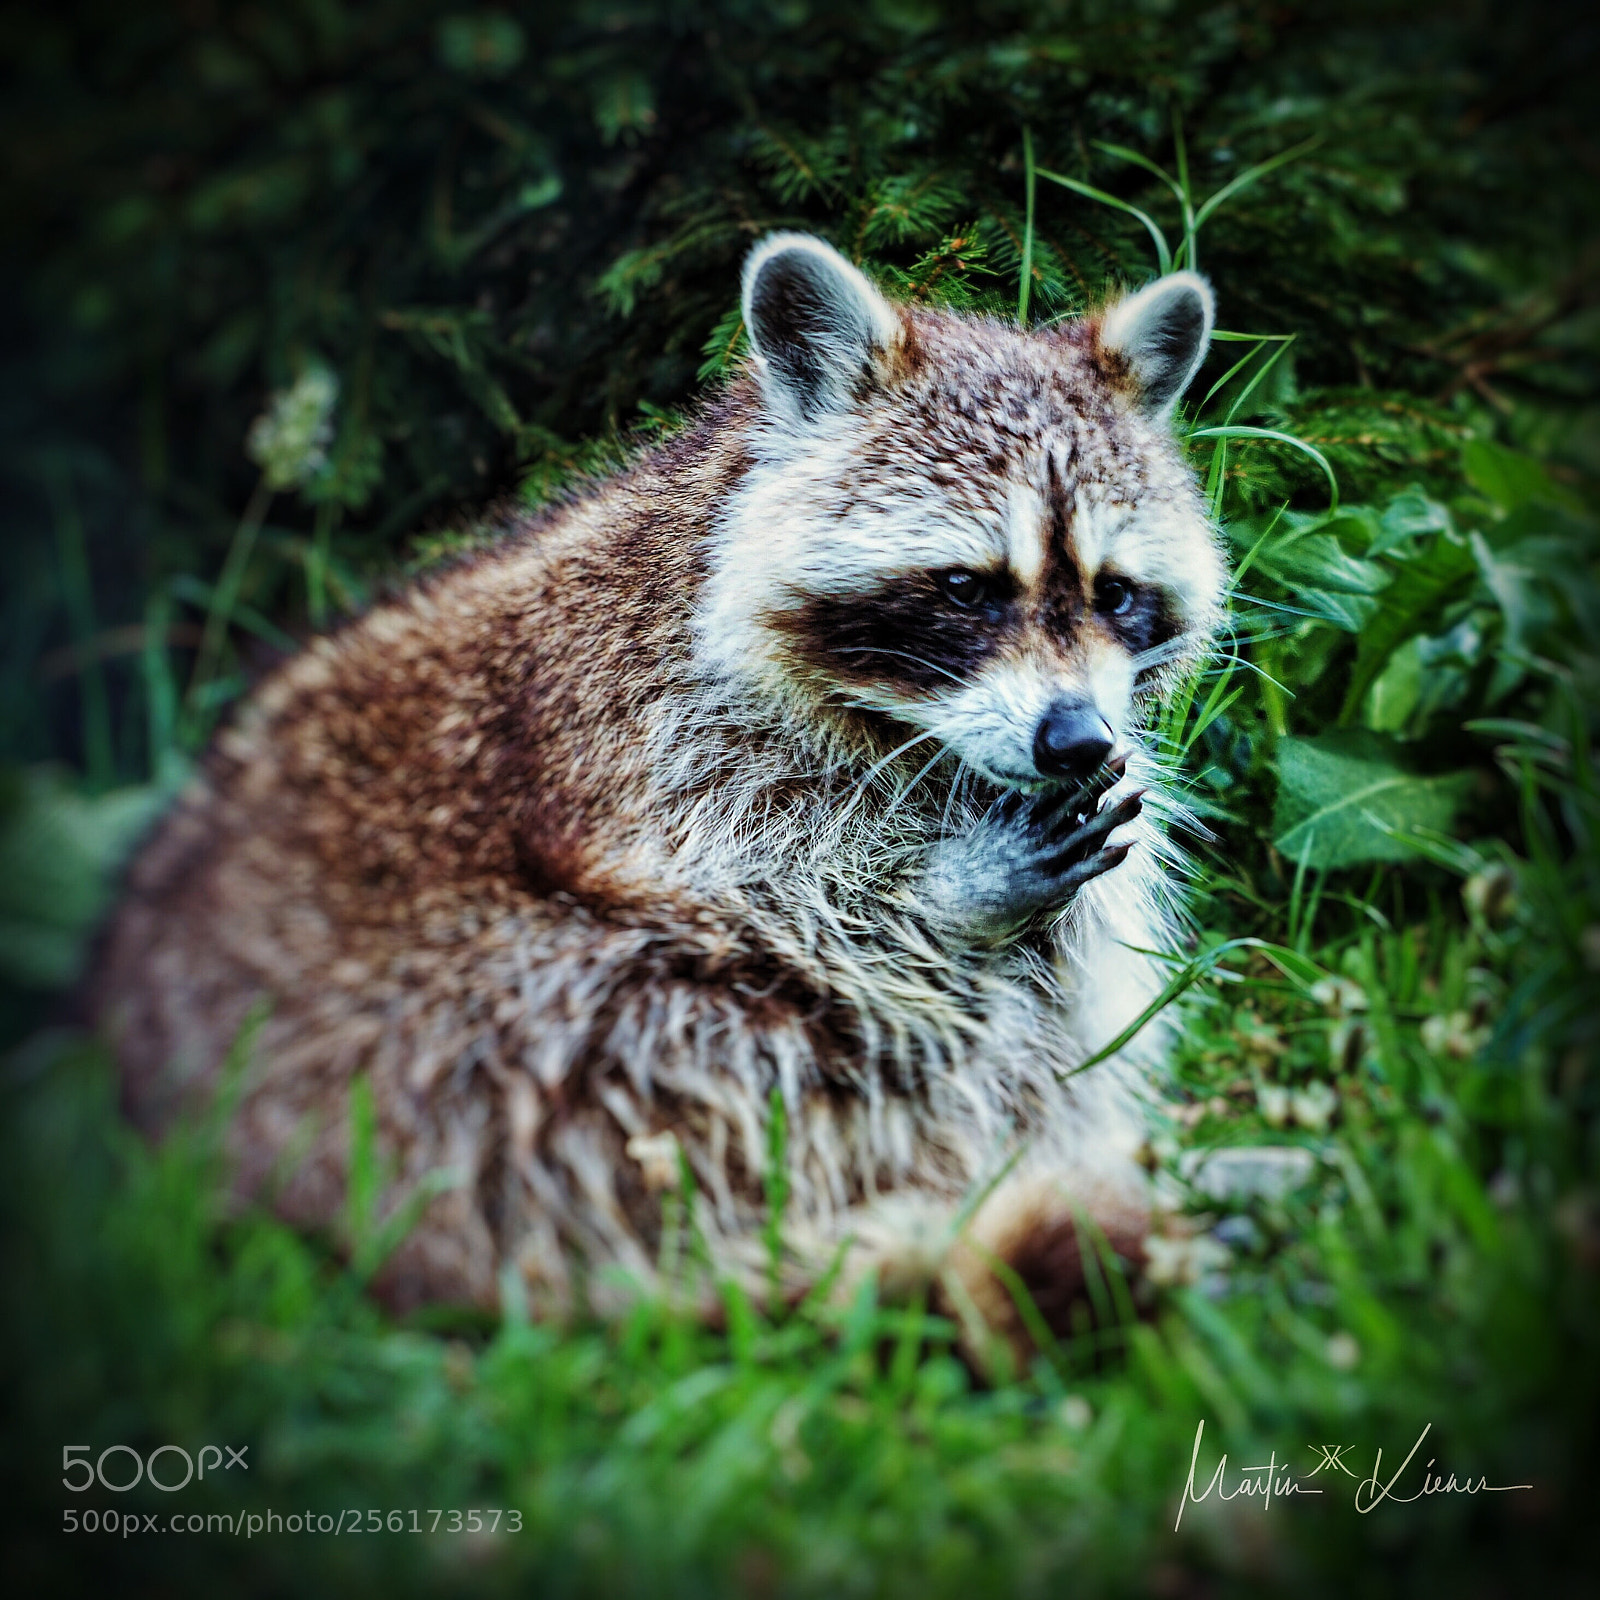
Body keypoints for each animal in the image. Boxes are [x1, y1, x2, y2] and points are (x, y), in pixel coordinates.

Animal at [94, 234, 1225, 1351]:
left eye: (1115, 594)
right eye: (966, 587)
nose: (1075, 740)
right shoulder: (650, 745)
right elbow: (805, 923)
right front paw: (946, 892)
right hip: (445, 1056)